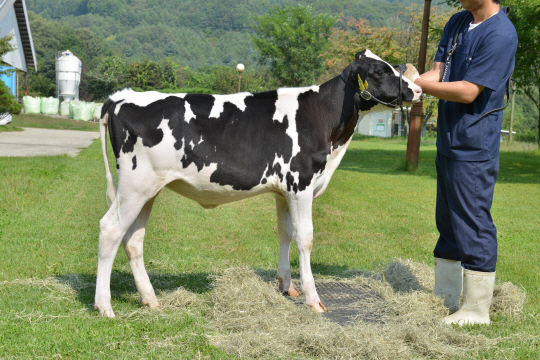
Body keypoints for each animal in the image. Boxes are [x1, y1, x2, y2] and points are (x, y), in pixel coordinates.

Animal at [94, 49, 422, 316]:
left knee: (133, 239)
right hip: (134, 185)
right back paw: (104, 306)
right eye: (381, 71)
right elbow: (305, 237)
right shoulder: (300, 183)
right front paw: (312, 298)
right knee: (110, 229)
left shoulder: (283, 190)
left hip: (148, 189)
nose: (418, 89)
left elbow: (285, 233)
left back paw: (150, 299)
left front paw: (287, 286)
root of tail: (122, 97)